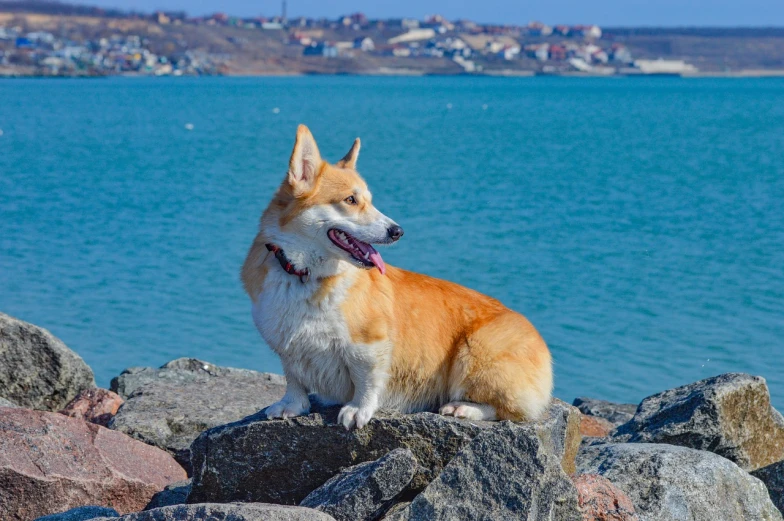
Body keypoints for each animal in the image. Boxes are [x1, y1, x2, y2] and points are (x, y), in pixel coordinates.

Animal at [242, 124, 556, 428]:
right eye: (350, 200)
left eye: (369, 201)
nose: (397, 231)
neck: (303, 273)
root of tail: (543, 347)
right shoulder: (287, 344)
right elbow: (294, 377)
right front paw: (291, 406)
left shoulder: (368, 344)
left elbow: (366, 380)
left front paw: (357, 410)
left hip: (475, 352)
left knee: (510, 410)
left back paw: (462, 408)